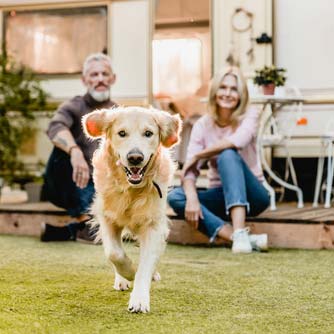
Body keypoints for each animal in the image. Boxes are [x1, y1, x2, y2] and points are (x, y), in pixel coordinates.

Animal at [83, 107, 181, 314]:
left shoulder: (153, 224)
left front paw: (140, 299)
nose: (135, 157)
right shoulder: (108, 218)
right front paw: (128, 273)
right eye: (122, 133)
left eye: (148, 133)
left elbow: (145, 265)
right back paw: (121, 279)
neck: (132, 190)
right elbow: (115, 254)